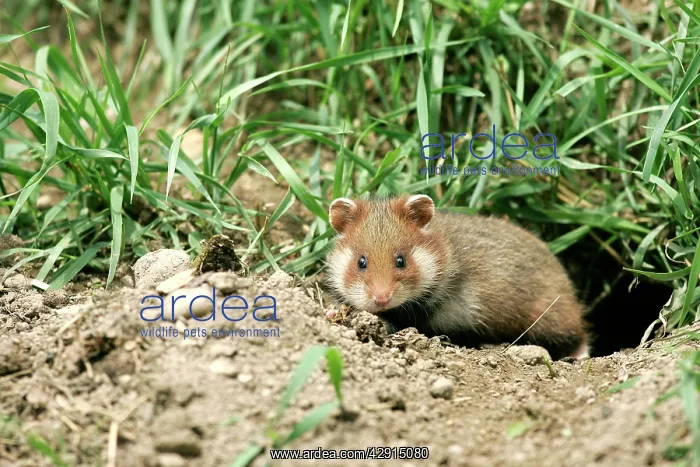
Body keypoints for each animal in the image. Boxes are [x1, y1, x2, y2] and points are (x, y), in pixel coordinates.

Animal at [326, 194, 589, 360]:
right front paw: (331, 311)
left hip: (550, 317)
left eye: (401, 260)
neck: (443, 254)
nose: (381, 299)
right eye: (361, 261)